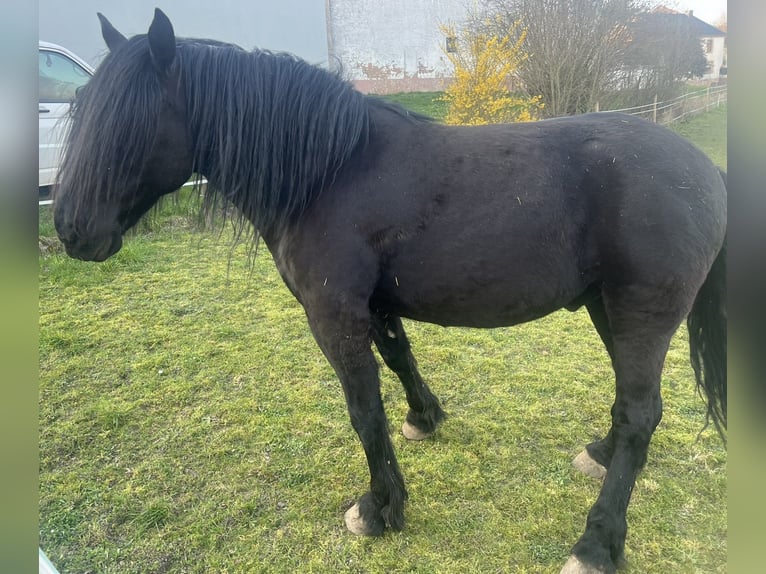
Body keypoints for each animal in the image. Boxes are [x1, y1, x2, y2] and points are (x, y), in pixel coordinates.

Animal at [53, 9, 726, 573]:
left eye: (129, 124)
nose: (69, 228)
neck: (331, 172)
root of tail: (706, 172)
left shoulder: (334, 314)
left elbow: (363, 408)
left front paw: (380, 507)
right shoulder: (374, 306)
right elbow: (400, 360)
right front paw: (424, 419)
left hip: (642, 311)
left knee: (641, 413)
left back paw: (596, 544)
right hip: (604, 306)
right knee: (630, 405)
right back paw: (601, 454)